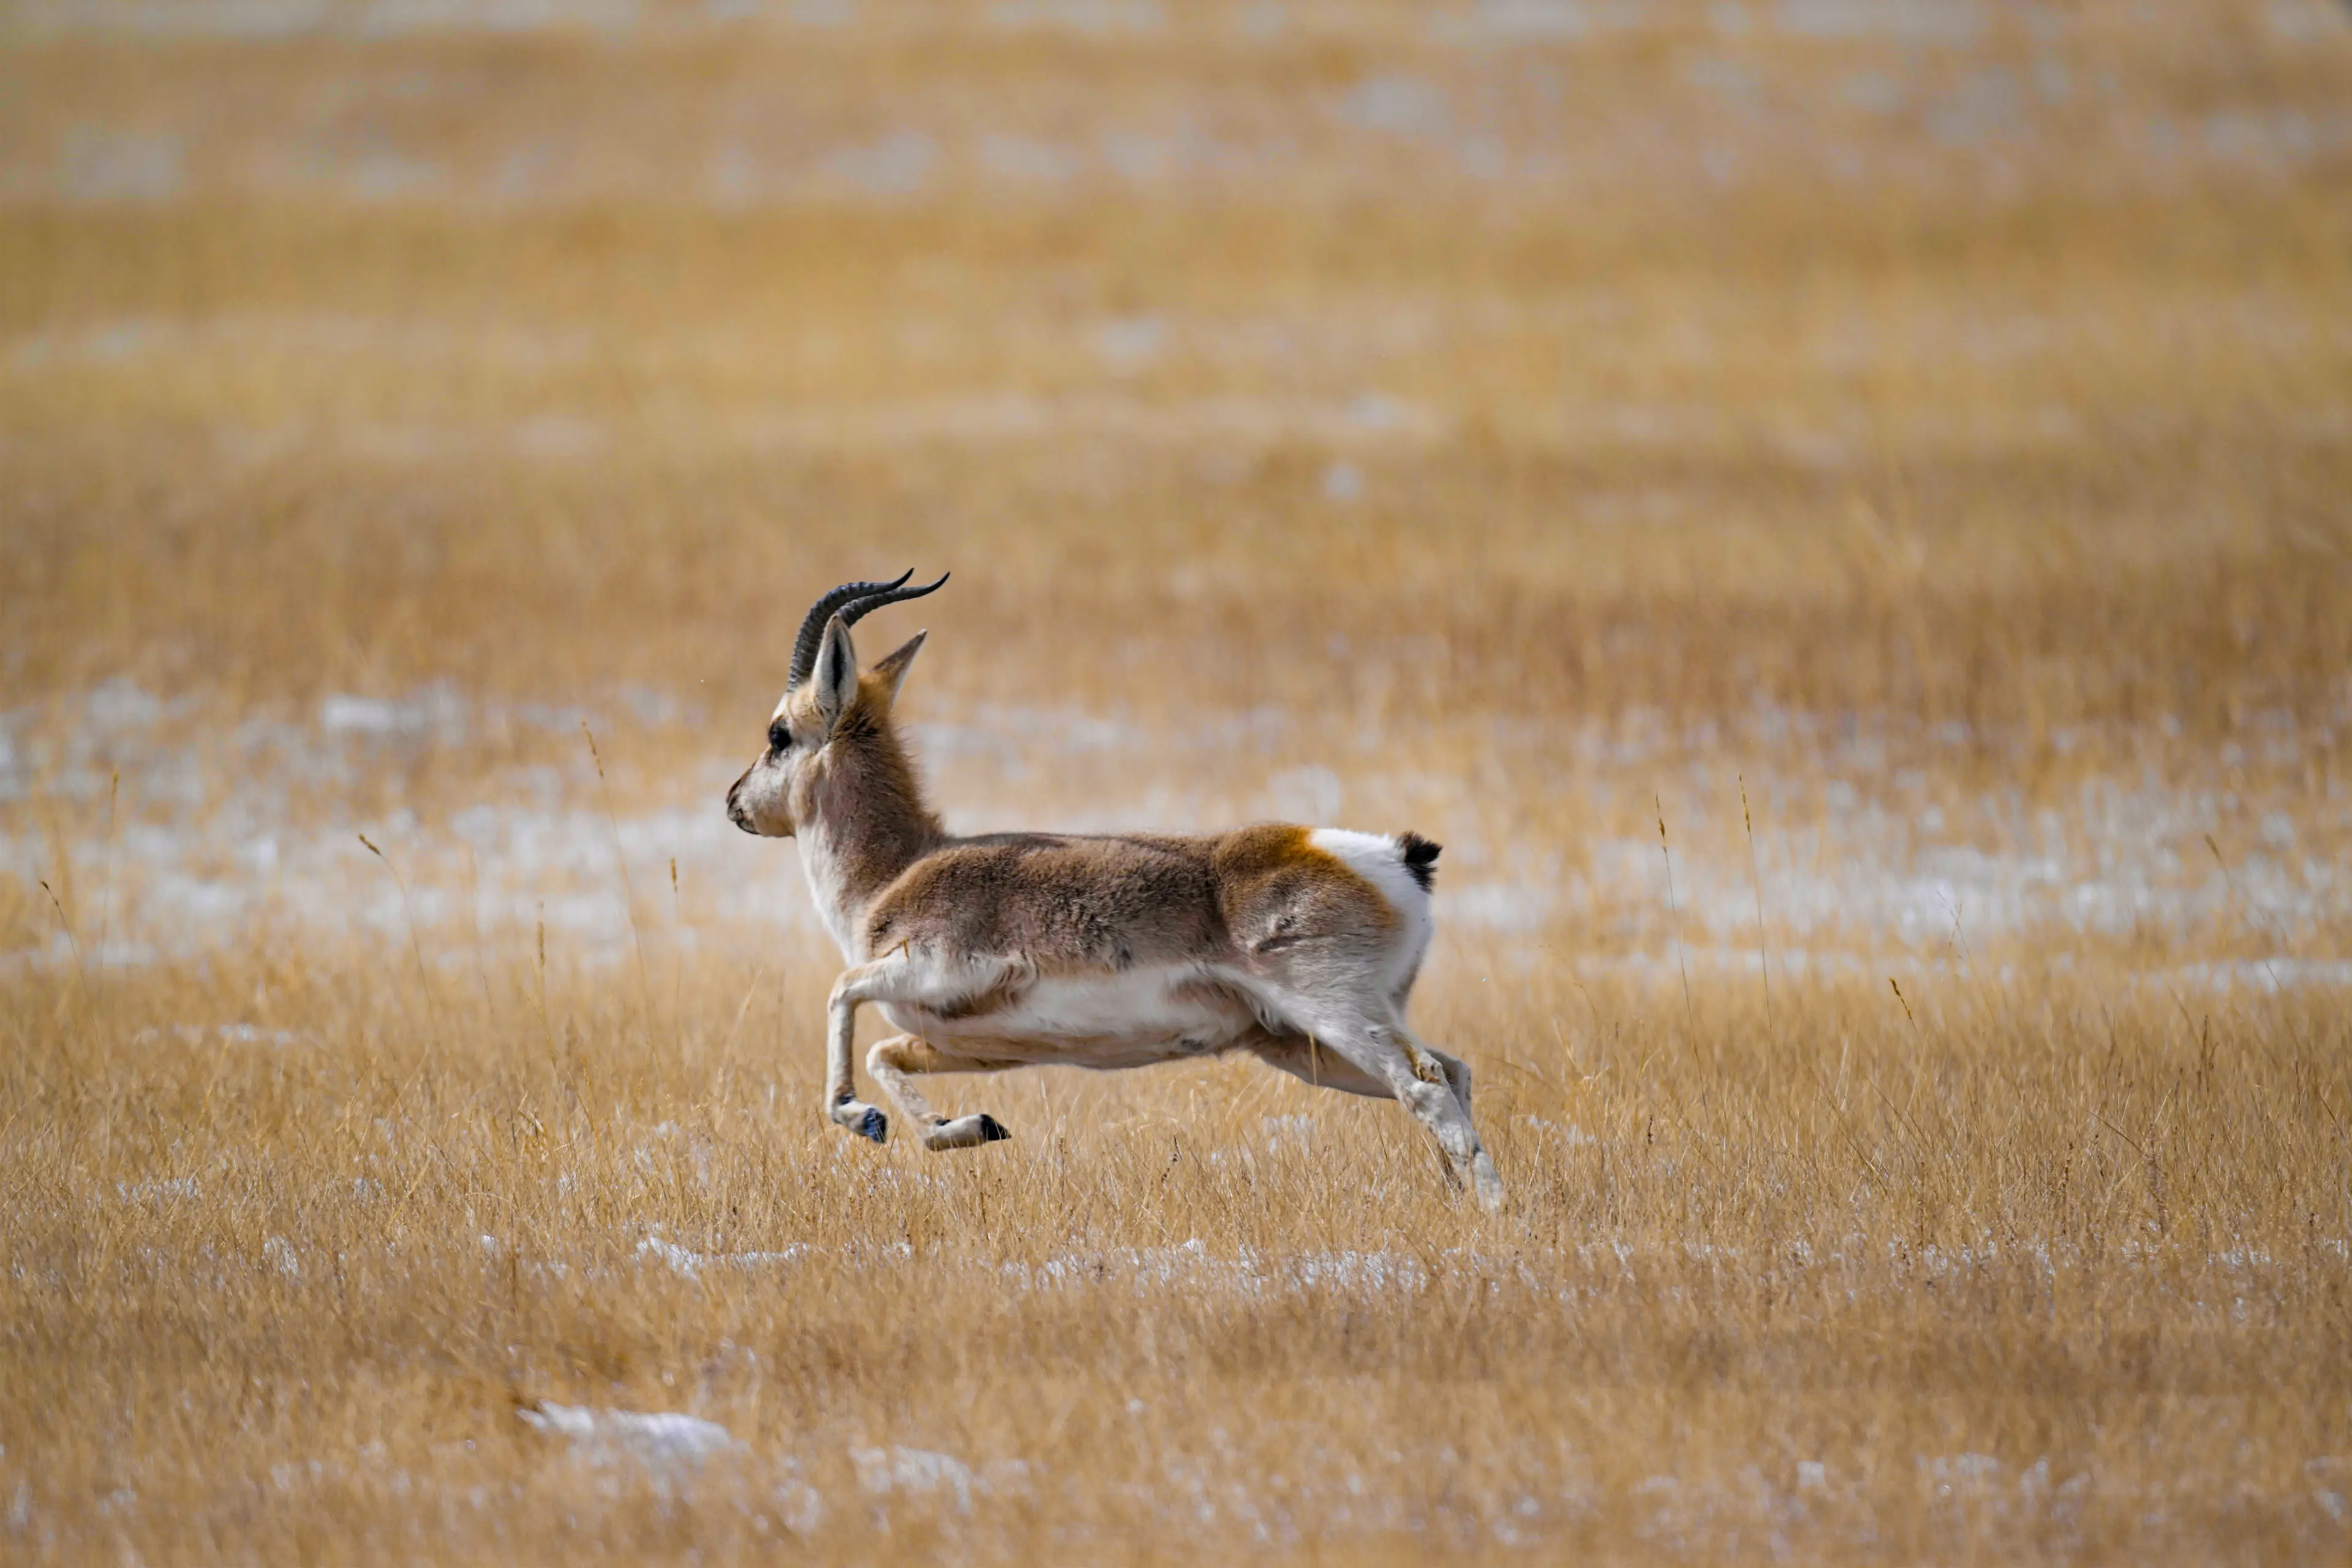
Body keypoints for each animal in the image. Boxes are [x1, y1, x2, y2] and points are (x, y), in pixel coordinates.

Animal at [725, 573, 1503, 1209]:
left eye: (778, 733)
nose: (734, 802)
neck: (896, 872)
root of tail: (1390, 858)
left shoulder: (937, 969)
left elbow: (841, 996)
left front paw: (862, 1116)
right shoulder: (971, 1042)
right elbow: (887, 1055)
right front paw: (972, 1125)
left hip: (1336, 1016)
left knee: (1426, 1084)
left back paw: (1492, 1213)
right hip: (1300, 1043)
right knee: (1452, 1071)